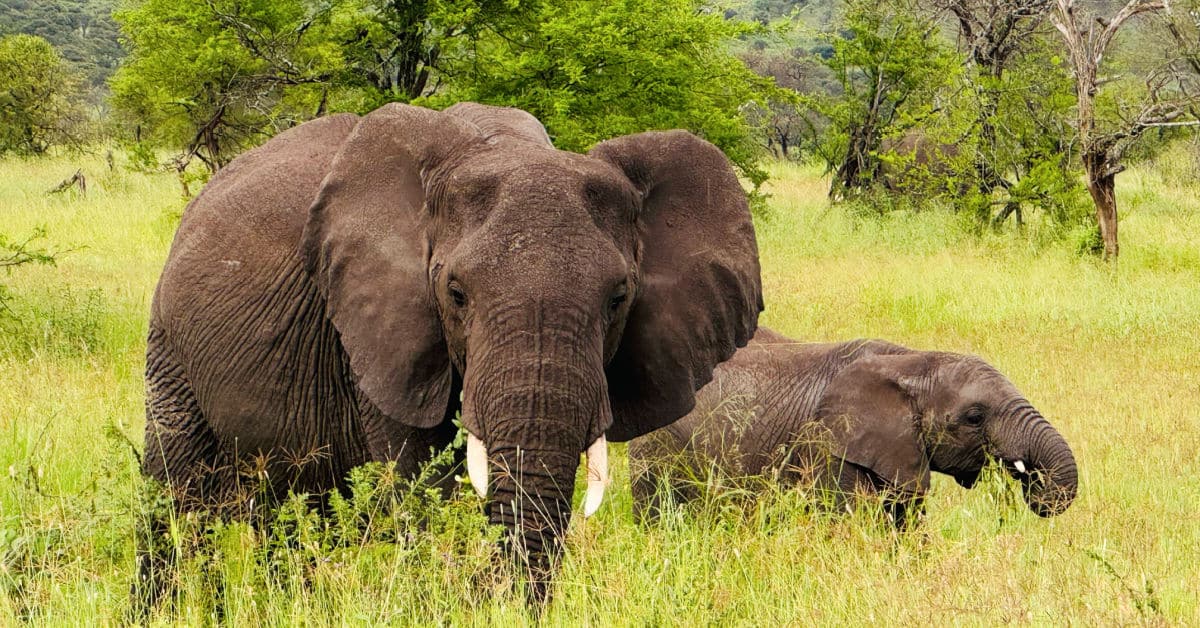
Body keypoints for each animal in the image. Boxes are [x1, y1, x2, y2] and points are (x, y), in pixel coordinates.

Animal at [139, 102, 762, 598]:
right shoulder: (381, 332)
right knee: (174, 497)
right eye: (456, 294)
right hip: (168, 343)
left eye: (618, 298)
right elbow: (422, 489)